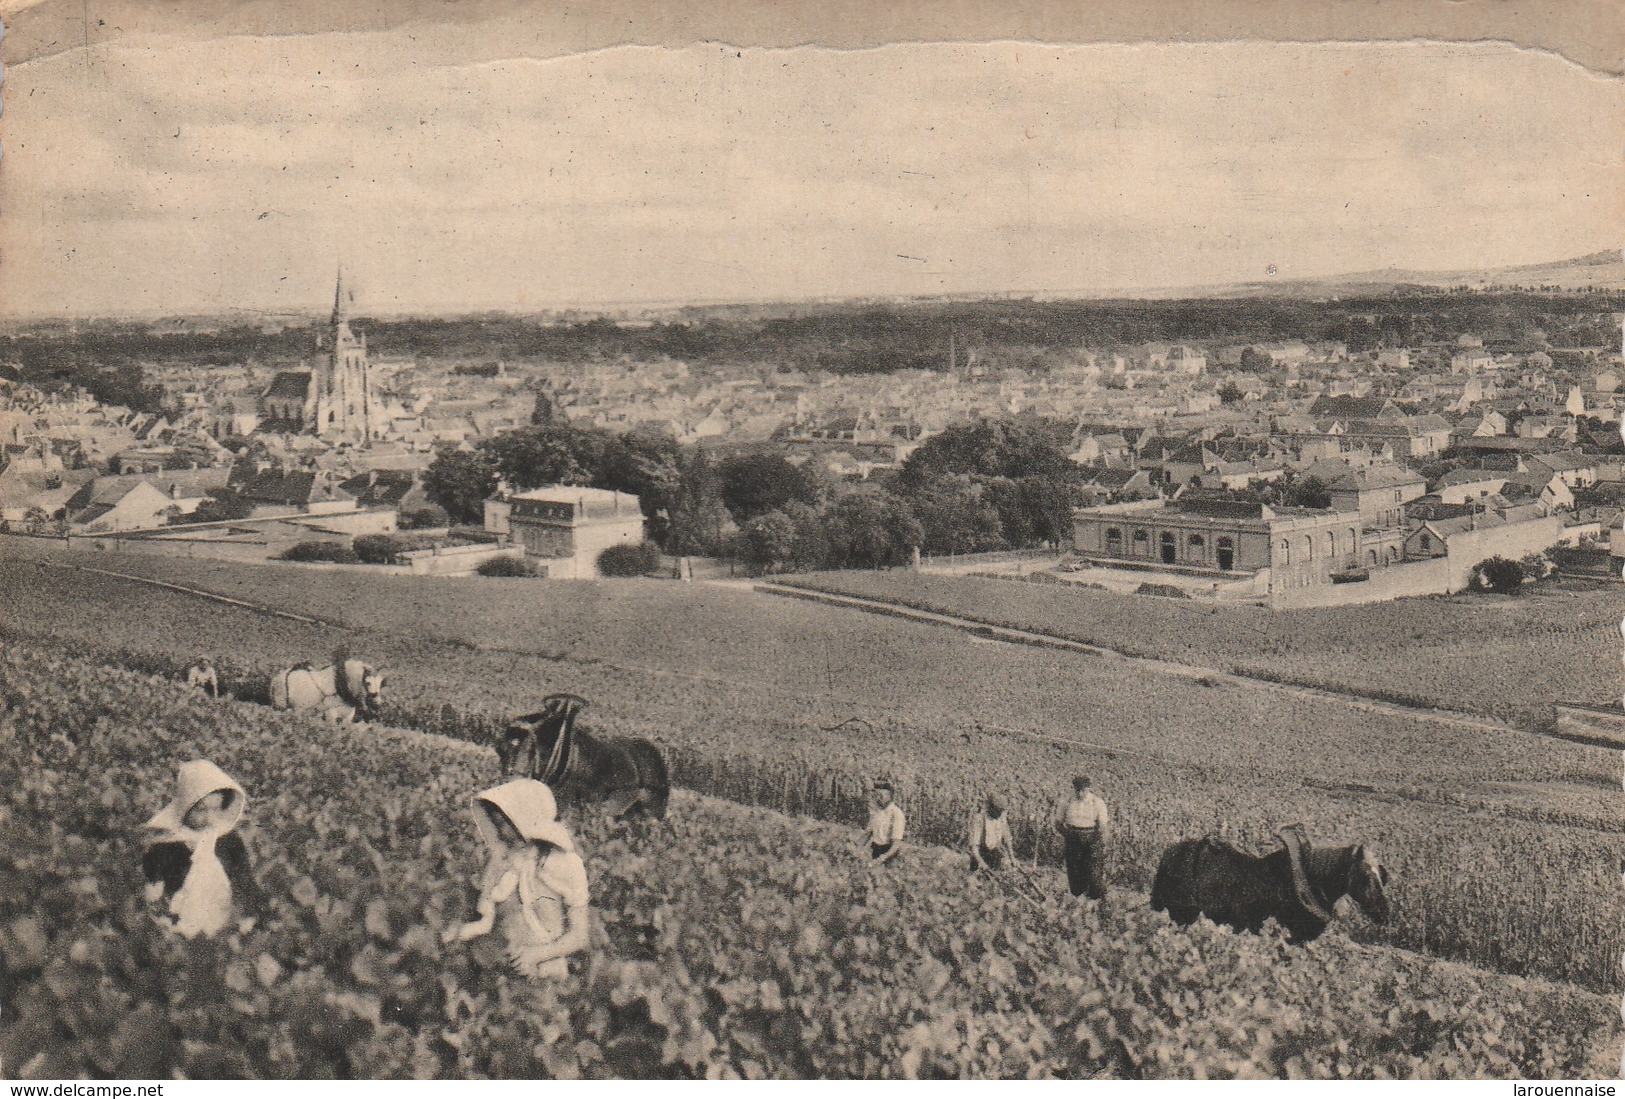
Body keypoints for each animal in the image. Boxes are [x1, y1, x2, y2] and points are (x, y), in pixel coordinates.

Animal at [1150, 825, 1391, 942]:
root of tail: (1171, 853)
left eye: (1383, 876)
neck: (1309, 881)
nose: (1384, 913)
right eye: (1365, 876)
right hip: (1181, 914)